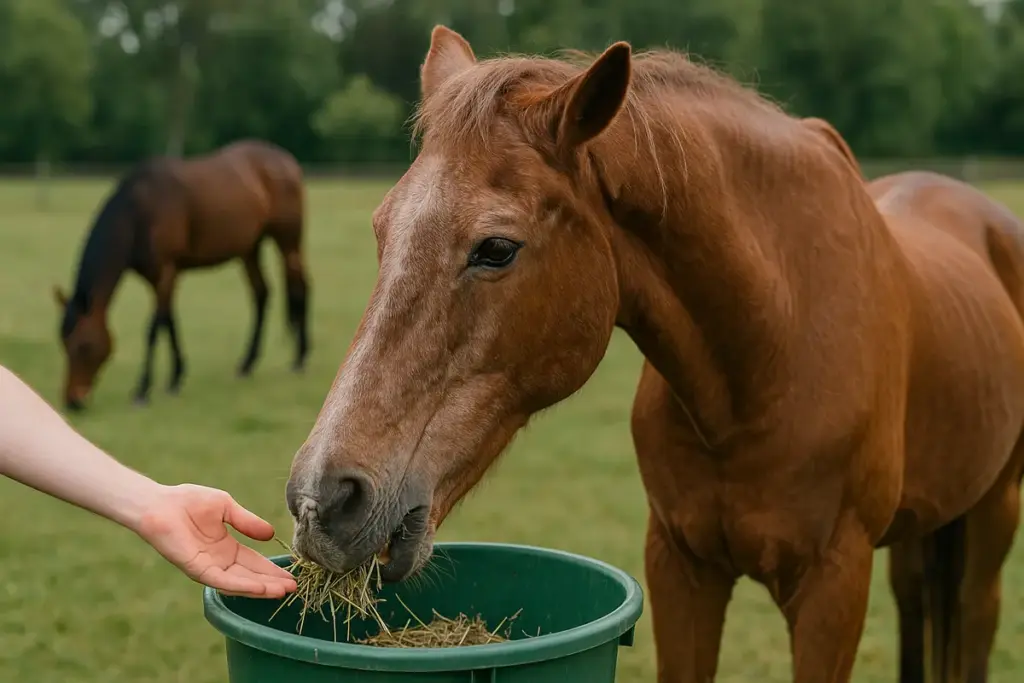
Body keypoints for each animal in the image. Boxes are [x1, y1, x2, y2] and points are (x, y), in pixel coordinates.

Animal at [54, 139, 311, 411]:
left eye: (84, 346)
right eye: (64, 343)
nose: (73, 401)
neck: (139, 211)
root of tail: (286, 161)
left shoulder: (165, 273)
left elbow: (154, 328)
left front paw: (143, 390)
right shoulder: (161, 278)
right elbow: (169, 322)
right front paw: (175, 378)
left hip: (288, 242)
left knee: (300, 287)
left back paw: (300, 359)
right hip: (249, 249)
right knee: (262, 293)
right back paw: (247, 364)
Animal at [284, 26, 1024, 683]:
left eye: (496, 248)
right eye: (382, 227)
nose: (323, 498)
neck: (769, 357)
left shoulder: (832, 588)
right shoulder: (679, 569)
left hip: (993, 520)